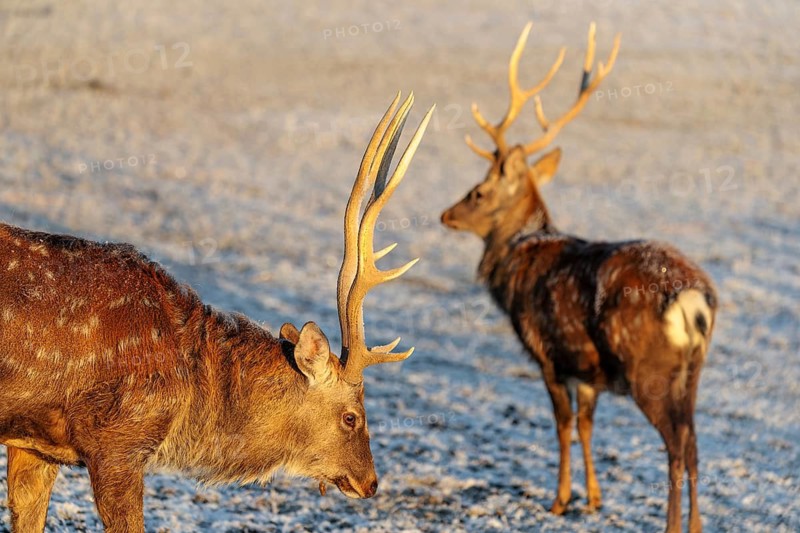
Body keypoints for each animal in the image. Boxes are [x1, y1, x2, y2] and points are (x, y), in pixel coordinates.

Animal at [440, 22, 716, 533]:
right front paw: (593, 498)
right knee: (693, 443)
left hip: (649, 369)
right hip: (693, 371)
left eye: (479, 191)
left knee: (675, 444)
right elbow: (587, 425)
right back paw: (695, 525)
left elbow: (563, 426)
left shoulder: (548, 354)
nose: (446, 214)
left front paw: (560, 499)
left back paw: (672, 525)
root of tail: (694, 300)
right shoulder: (589, 369)